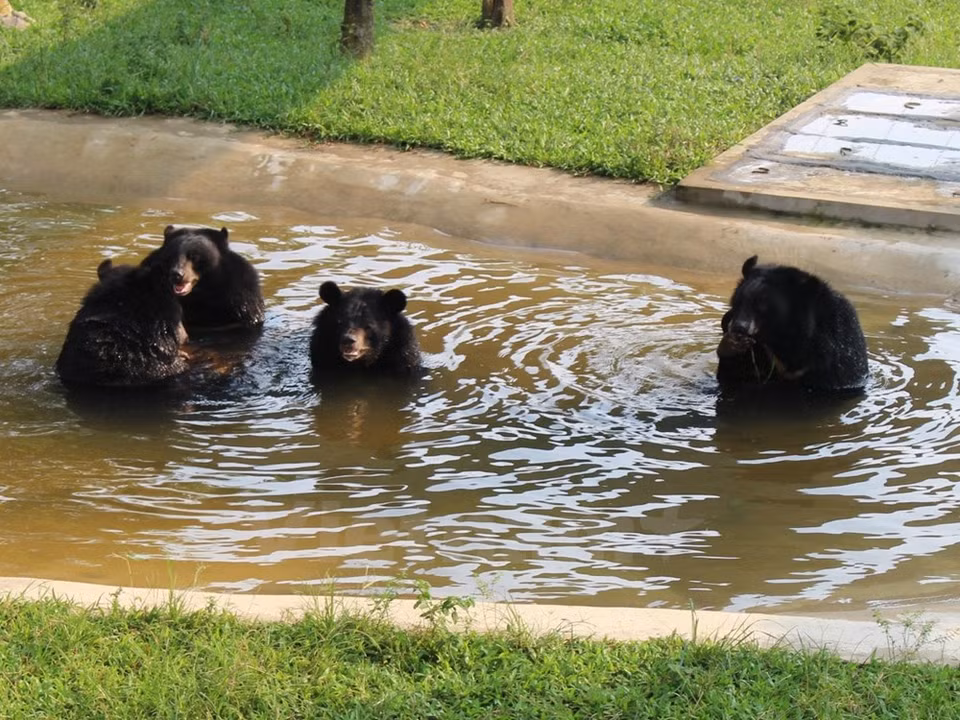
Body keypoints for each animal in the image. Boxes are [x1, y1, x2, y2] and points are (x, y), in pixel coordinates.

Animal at [716, 255, 869, 393]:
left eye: (763, 307)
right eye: (739, 301)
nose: (739, 327)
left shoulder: (832, 356)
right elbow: (737, 375)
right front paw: (731, 344)